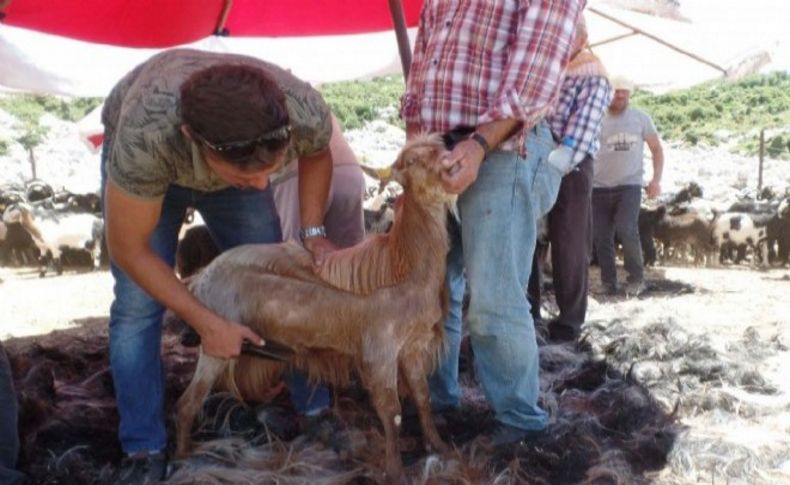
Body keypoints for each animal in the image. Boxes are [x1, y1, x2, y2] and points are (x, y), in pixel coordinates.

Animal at [176, 134, 454, 478]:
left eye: (440, 149)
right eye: (413, 162)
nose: (450, 163)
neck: (404, 268)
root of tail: (201, 278)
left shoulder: (412, 347)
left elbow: (423, 396)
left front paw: (439, 446)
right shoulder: (379, 351)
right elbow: (393, 414)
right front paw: (395, 471)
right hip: (216, 340)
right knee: (187, 403)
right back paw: (183, 457)